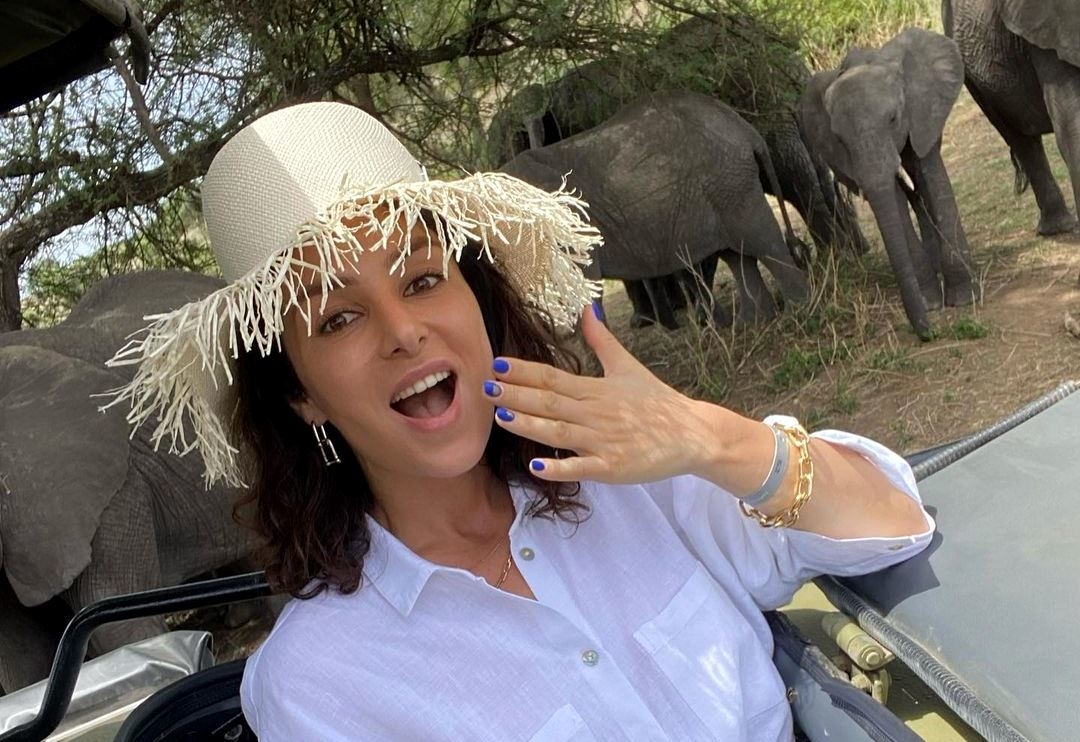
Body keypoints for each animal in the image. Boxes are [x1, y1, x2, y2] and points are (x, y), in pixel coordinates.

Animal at [499, 92, 809, 326]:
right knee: (737, 254)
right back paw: (752, 326)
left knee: (762, 243)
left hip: (731, 184)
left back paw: (798, 313)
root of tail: (744, 128)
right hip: (723, 188)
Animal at [799, 28, 976, 339]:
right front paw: (930, 302)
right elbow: (890, 194)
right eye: (839, 139)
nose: (929, 334)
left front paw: (963, 298)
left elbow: (930, 172)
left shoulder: (922, 111)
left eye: (893, 118)